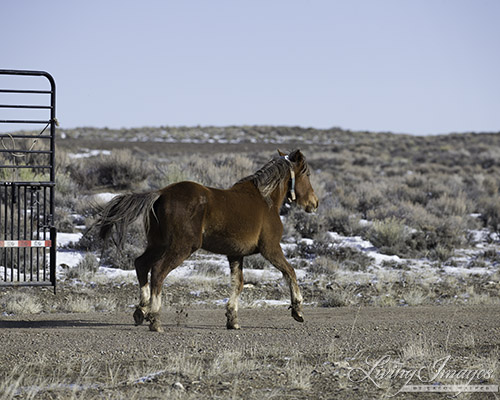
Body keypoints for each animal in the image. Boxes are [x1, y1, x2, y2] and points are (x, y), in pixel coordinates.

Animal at [95, 150, 318, 332]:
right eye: (306, 174)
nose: (314, 203)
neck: (266, 200)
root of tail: (160, 194)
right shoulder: (270, 248)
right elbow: (290, 272)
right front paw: (298, 311)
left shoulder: (235, 254)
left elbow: (238, 284)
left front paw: (232, 319)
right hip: (181, 246)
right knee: (157, 271)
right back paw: (155, 319)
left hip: (158, 244)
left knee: (141, 264)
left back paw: (141, 311)